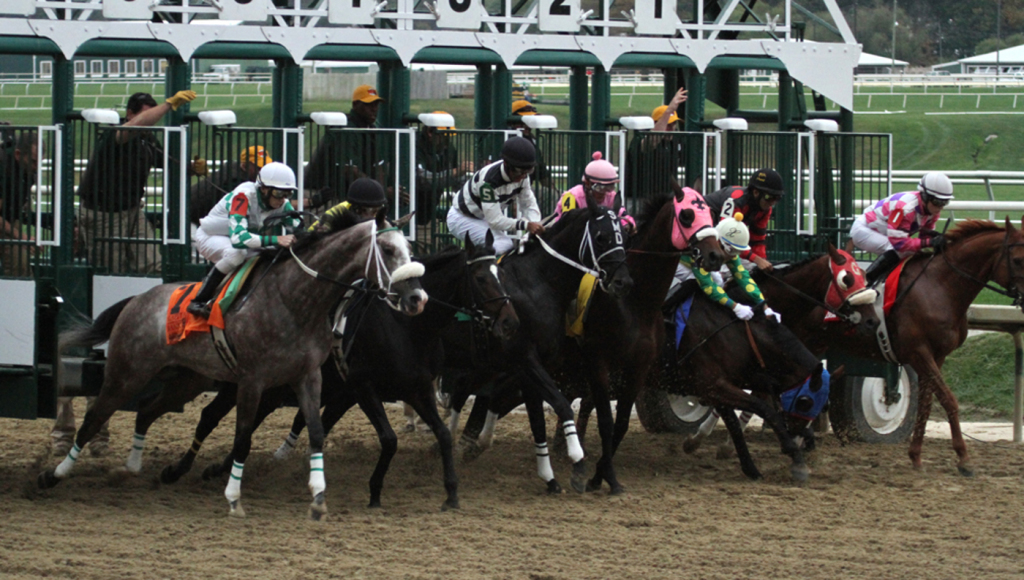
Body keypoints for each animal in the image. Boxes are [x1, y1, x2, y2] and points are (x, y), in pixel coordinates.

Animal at [41, 211, 425, 520]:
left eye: (410, 248)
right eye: (387, 249)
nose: (416, 299)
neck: (294, 300)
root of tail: (136, 300)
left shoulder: (307, 376)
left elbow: (315, 432)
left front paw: (318, 497)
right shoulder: (252, 380)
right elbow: (242, 439)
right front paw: (234, 498)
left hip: (186, 379)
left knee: (147, 409)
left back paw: (133, 467)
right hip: (126, 373)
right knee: (94, 419)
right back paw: (54, 474)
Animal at [160, 234, 520, 512]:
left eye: (502, 274)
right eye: (481, 278)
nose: (509, 322)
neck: (407, 327)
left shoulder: (414, 388)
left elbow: (443, 435)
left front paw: (451, 493)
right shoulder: (362, 387)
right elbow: (389, 440)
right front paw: (374, 491)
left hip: (274, 386)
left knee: (249, 422)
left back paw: (219, 469)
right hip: (247, 380)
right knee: (210, 416)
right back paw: (177, 471)